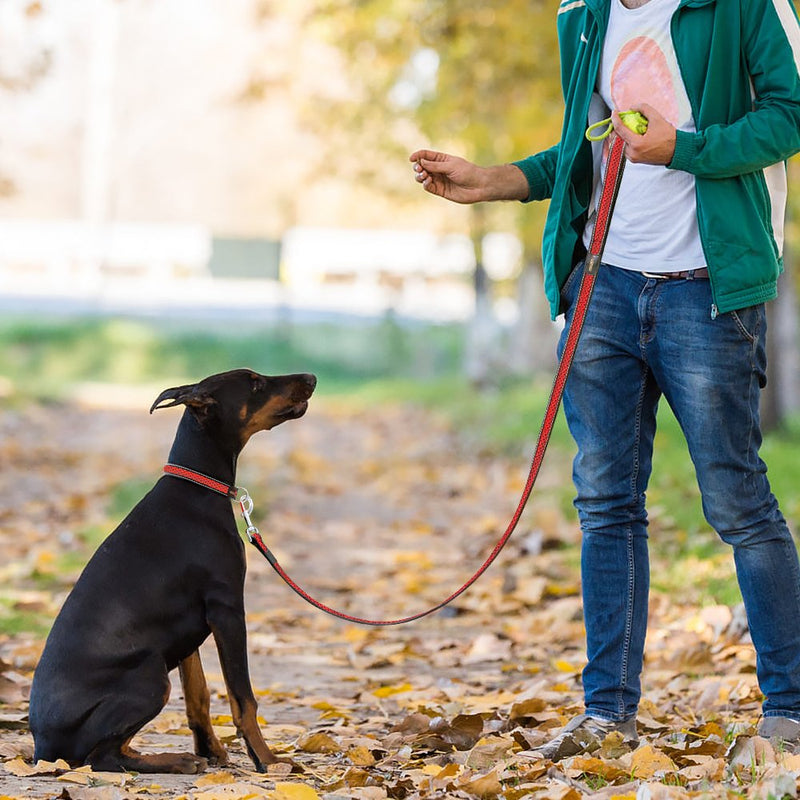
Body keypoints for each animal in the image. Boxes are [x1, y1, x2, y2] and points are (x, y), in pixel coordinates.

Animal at [28, 370, 316, 776]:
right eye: (256, 383)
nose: (311, 377)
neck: (197, 489)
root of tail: (43, 748)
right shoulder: (227, 609)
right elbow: (243, 699)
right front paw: (267, 760)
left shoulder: (188, 630)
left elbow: (199, 695)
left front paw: (211, 750)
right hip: (150, 676)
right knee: (102, 758)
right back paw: (175, 760)